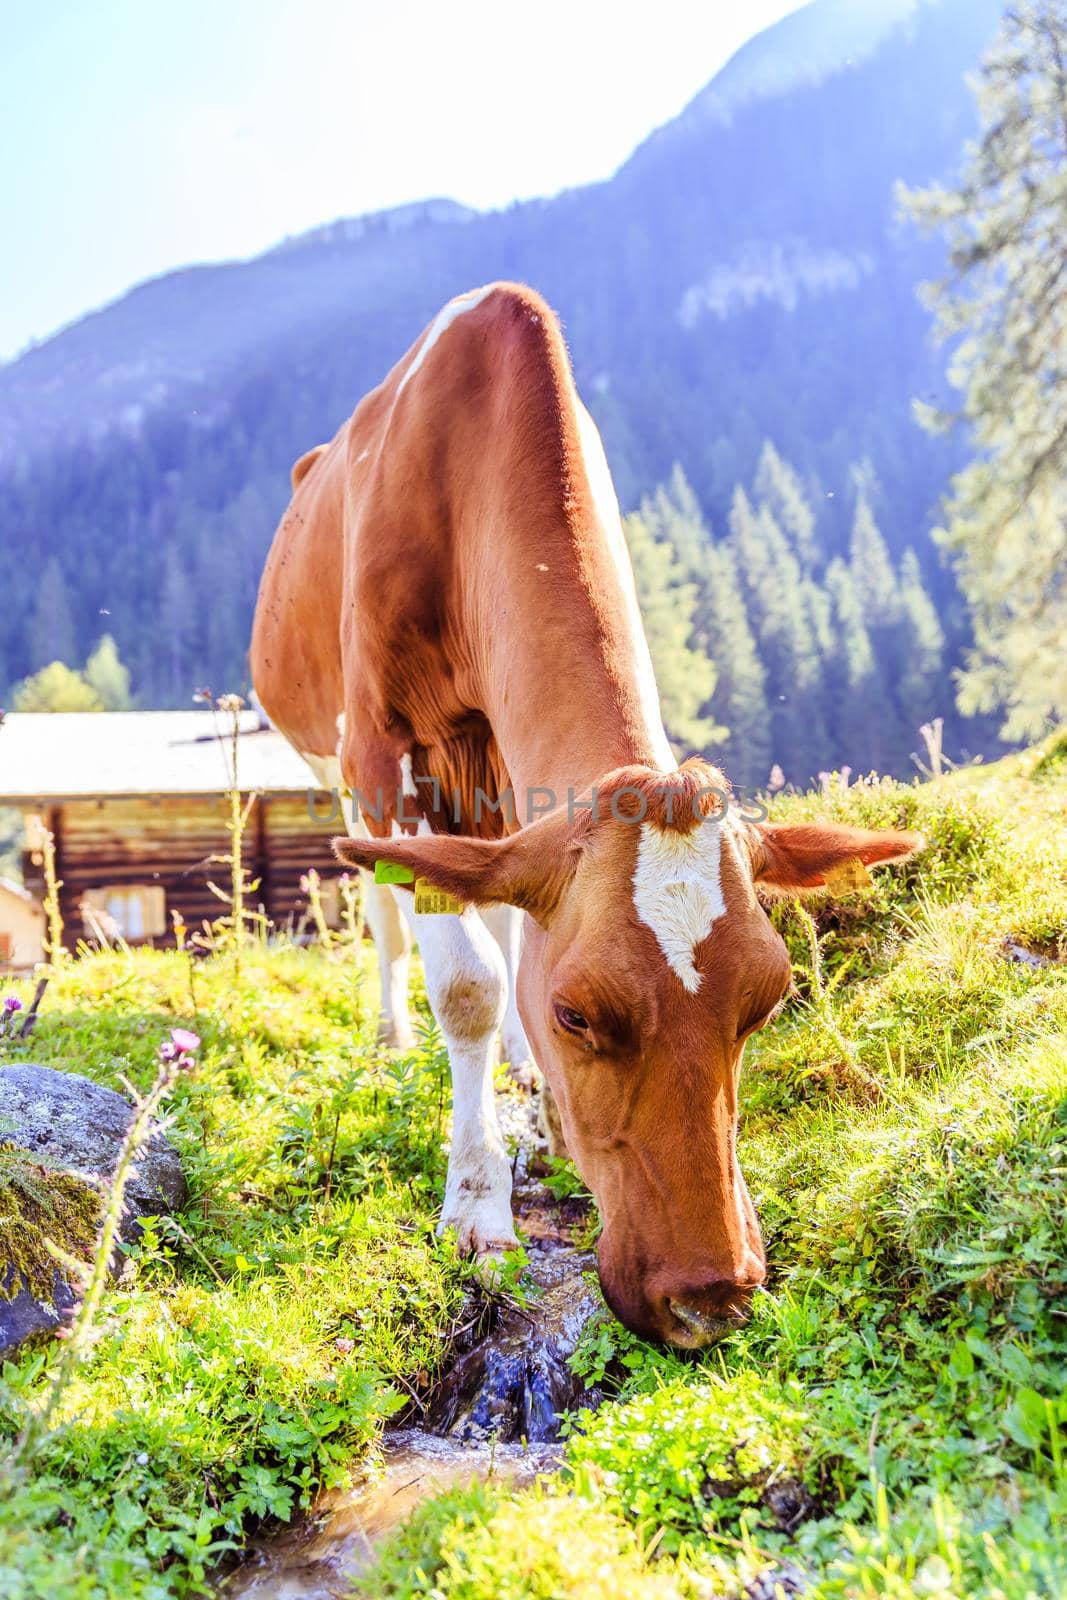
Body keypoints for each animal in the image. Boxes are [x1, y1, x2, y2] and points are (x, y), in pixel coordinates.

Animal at [251, 284, 921, 1350]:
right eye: (578, 1013)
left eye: (768, 1002)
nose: (711, 1296)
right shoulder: (380, 759)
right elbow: (470, 986)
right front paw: (477, 1205)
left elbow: (506, 943)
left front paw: (530, 1114)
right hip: (331, 766)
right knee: (392, 919)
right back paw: (397, 1034)